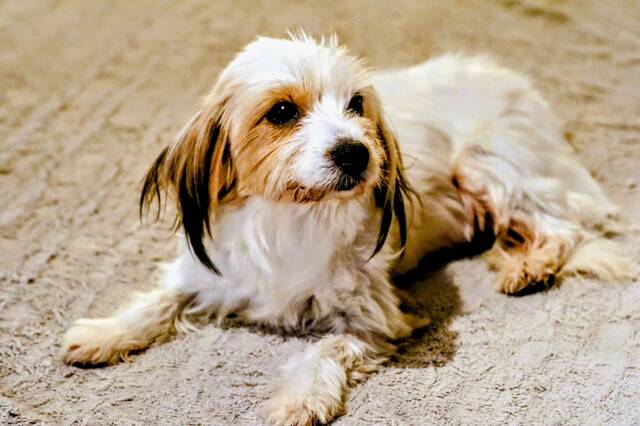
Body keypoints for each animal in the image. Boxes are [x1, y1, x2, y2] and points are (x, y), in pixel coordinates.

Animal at [61, 33, 634, 425]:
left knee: (561, 228)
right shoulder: (211, 273)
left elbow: (323, 351)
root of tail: (513, 83)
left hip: (487, 165)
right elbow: (158, 301)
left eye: (356, 104)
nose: (356, 151)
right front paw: (104, 333)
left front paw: (300, 399)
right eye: (282, 111)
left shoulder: (371, 319)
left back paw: (529, 266)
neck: (289, 216)